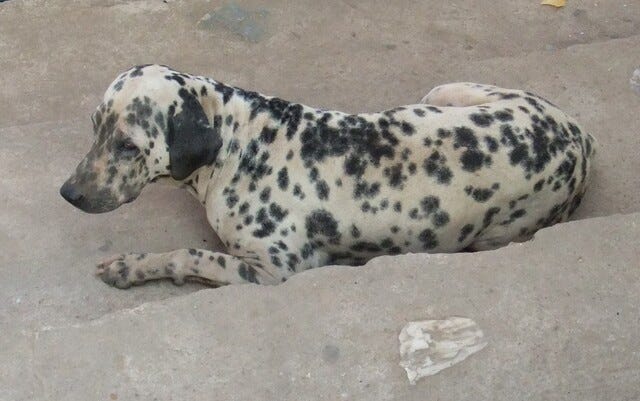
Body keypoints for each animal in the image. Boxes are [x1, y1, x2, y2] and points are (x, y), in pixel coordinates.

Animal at [58, 64, 596, 288]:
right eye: (94, 126)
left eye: (128, 145)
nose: (69, 193)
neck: (241, 142)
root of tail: (576, 134)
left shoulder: (273, 270)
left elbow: (188, 254)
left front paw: (131, 267)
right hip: (442, 91)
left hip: (495, 233)